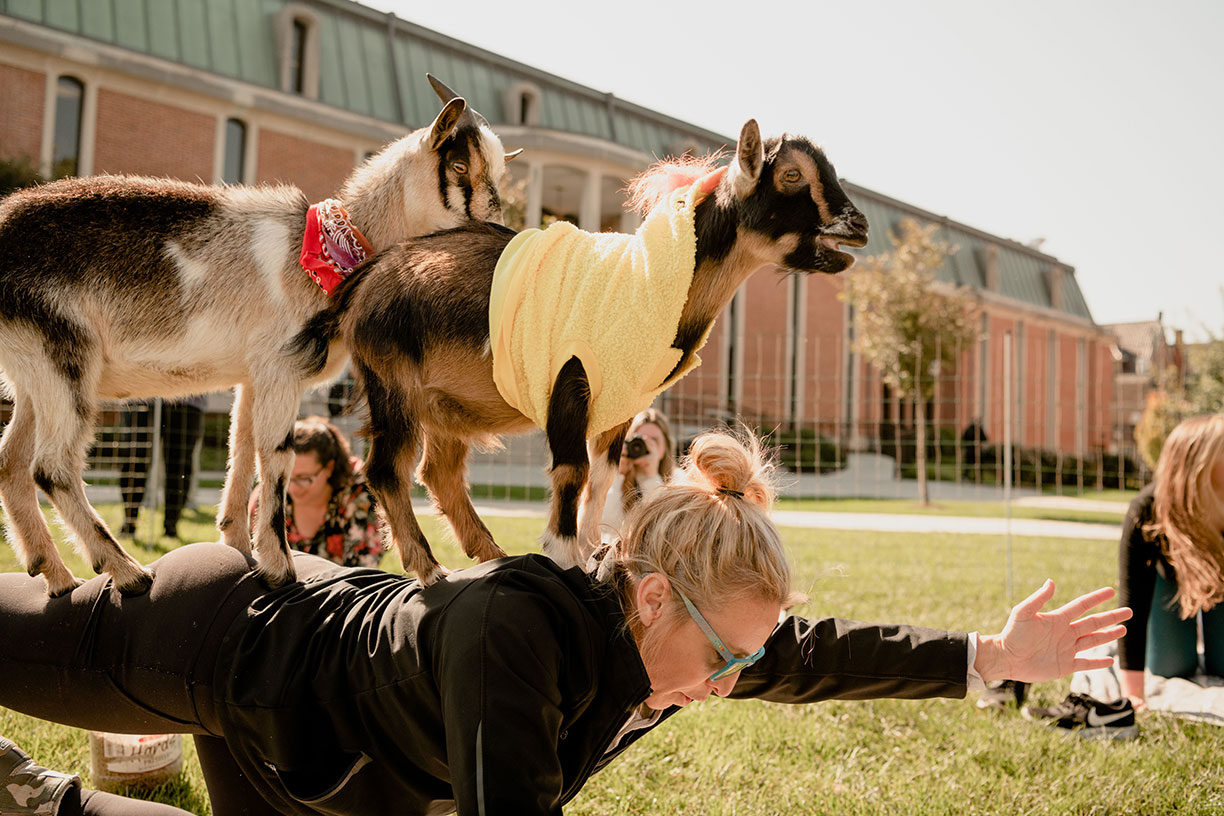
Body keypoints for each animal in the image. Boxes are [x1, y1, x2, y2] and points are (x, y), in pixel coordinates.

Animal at [0, 76, 516, 597]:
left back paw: (57, 576)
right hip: (64, 359)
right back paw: (126, 571)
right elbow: (277, 458)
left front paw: (238, 549)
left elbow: (243, 451)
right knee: (52, 467)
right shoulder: (279, 369)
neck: (329, 249)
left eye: (499, 173)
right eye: (457, 165)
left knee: (11, 463)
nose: (498, 233)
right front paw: (279, 568)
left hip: (32, 373)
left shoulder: (252, 377)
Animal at [328, 118, 871, 584]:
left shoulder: (621, 402)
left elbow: (604, 476)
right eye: (791, 174)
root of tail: (365, 281)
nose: (860, 225)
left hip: (446, 405)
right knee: (385, 470)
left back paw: (492, 554)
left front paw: (594, 548)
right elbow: (573, 471)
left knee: (438, 473)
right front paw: (564, 554)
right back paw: (430, 569)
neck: (647, 280)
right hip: (393, 382)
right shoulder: (571, 378)